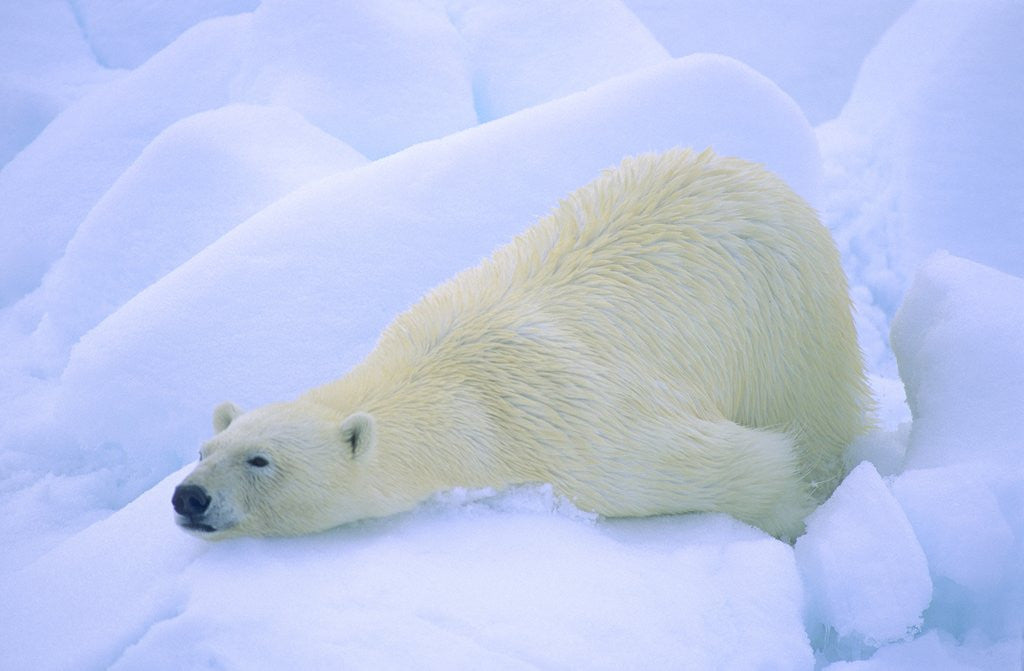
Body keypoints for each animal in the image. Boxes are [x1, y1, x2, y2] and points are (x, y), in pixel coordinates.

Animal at [172, 148, 868, 540]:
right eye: (204, 449)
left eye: (260, 460)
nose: (188, 496)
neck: (459, 392)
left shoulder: (589, 439)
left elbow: (751, 463)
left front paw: (793, 531)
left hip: (792, 323)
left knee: (815, 416)